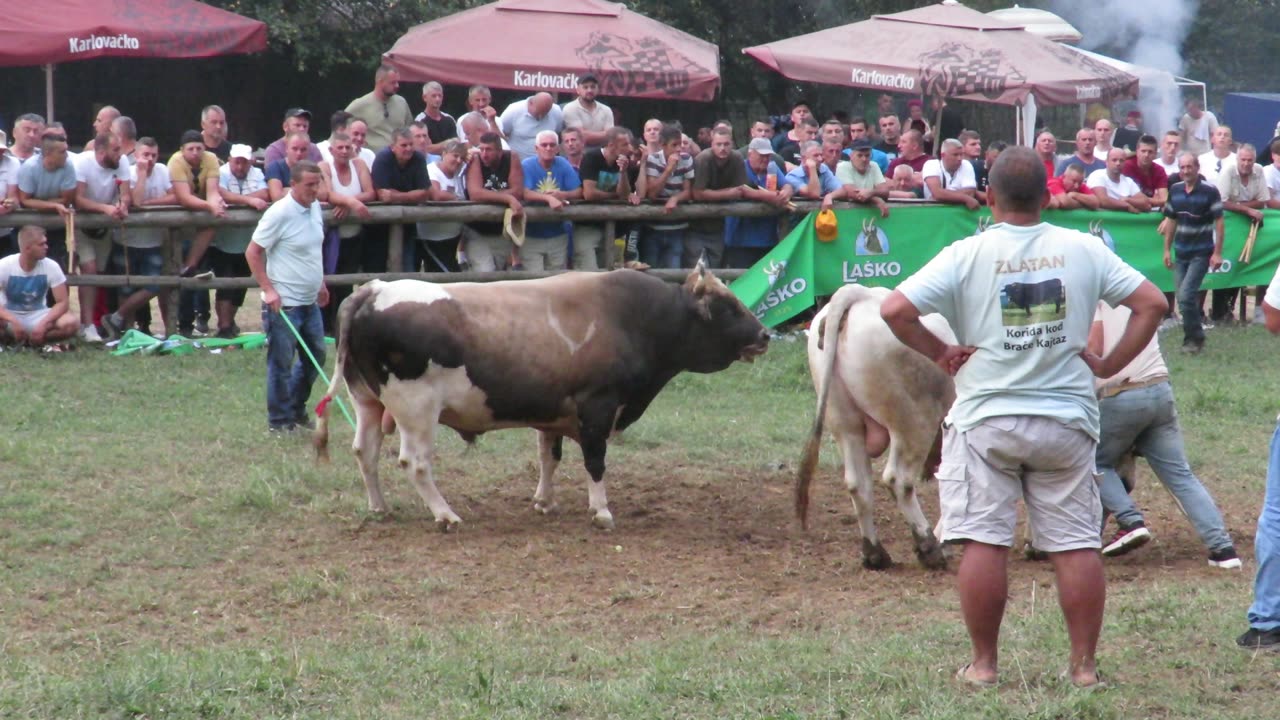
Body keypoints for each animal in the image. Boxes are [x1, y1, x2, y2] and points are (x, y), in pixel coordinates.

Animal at [793, 283, 957, 568]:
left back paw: (875, 553)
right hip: (913, 422)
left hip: (846, 424)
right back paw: (928, 547)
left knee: (858, 483)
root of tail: (860, 293)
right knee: (898, 480)